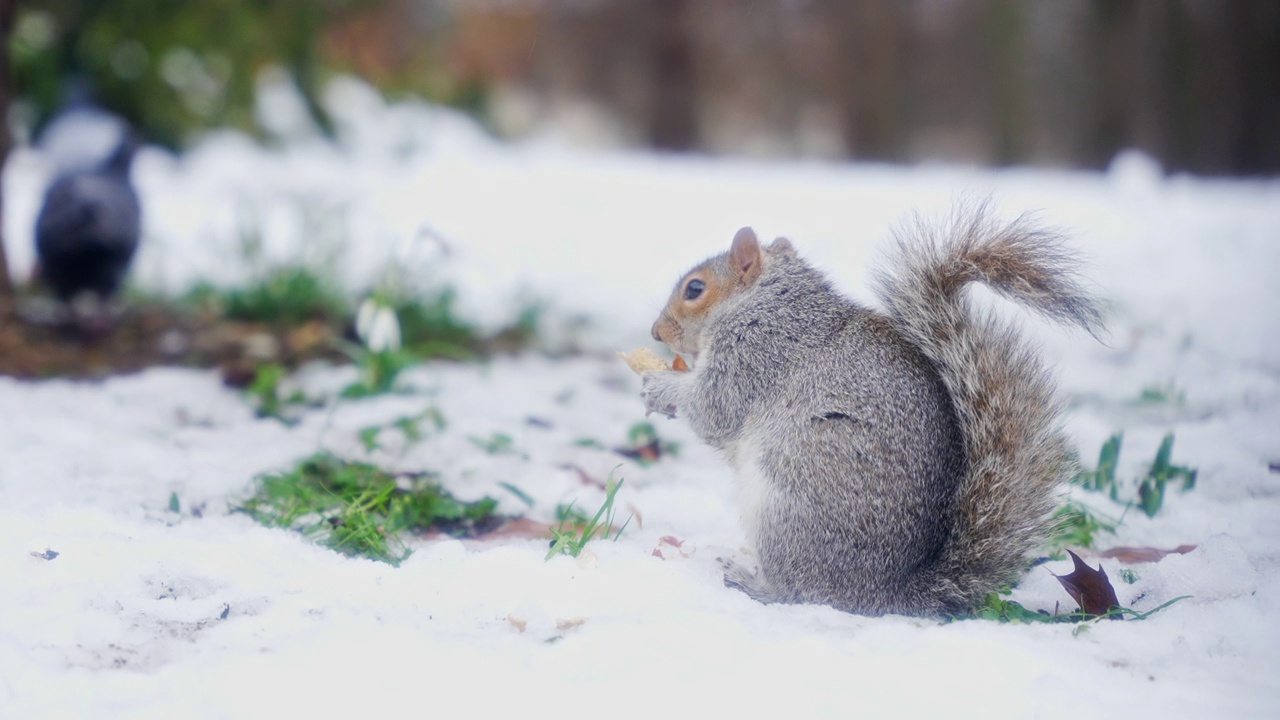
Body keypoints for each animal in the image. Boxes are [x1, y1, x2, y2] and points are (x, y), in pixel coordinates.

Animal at [645, 204, 1105, 614]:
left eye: (695, 289)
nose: (656, 332)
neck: (767, 298)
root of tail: (882, 593)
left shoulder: (757, 350)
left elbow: (714, 407)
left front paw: (660, 386)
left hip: (787, 502)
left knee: (801, 592)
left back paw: (752, 583)